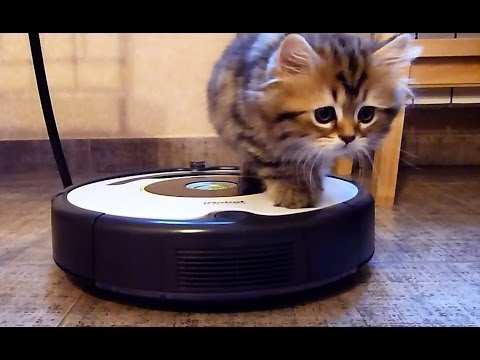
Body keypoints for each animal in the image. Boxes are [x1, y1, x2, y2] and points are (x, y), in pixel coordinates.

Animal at [206, 34, 420, 208]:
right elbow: (274, 162)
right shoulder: (248, 131)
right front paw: (294, 190)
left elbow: (313, 162)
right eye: (324, 114)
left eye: (366, 114)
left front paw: (310, 184)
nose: (348, 138)